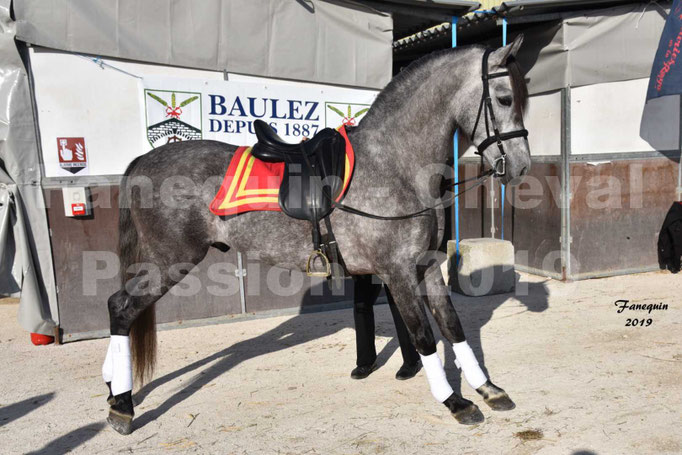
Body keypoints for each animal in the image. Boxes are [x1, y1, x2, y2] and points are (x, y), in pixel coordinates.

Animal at [101, 35, 531, 435]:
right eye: (505, 98)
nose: (522, 166)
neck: (394, 164)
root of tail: (143, 160)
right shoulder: (397, 271)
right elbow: (424, 335)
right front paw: (455, 402)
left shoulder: (425, 265)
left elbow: (452, 326)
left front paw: (489, 389)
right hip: (170, 262)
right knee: (122, 308)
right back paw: (122, 406)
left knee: (118, 307)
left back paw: (112, 387)